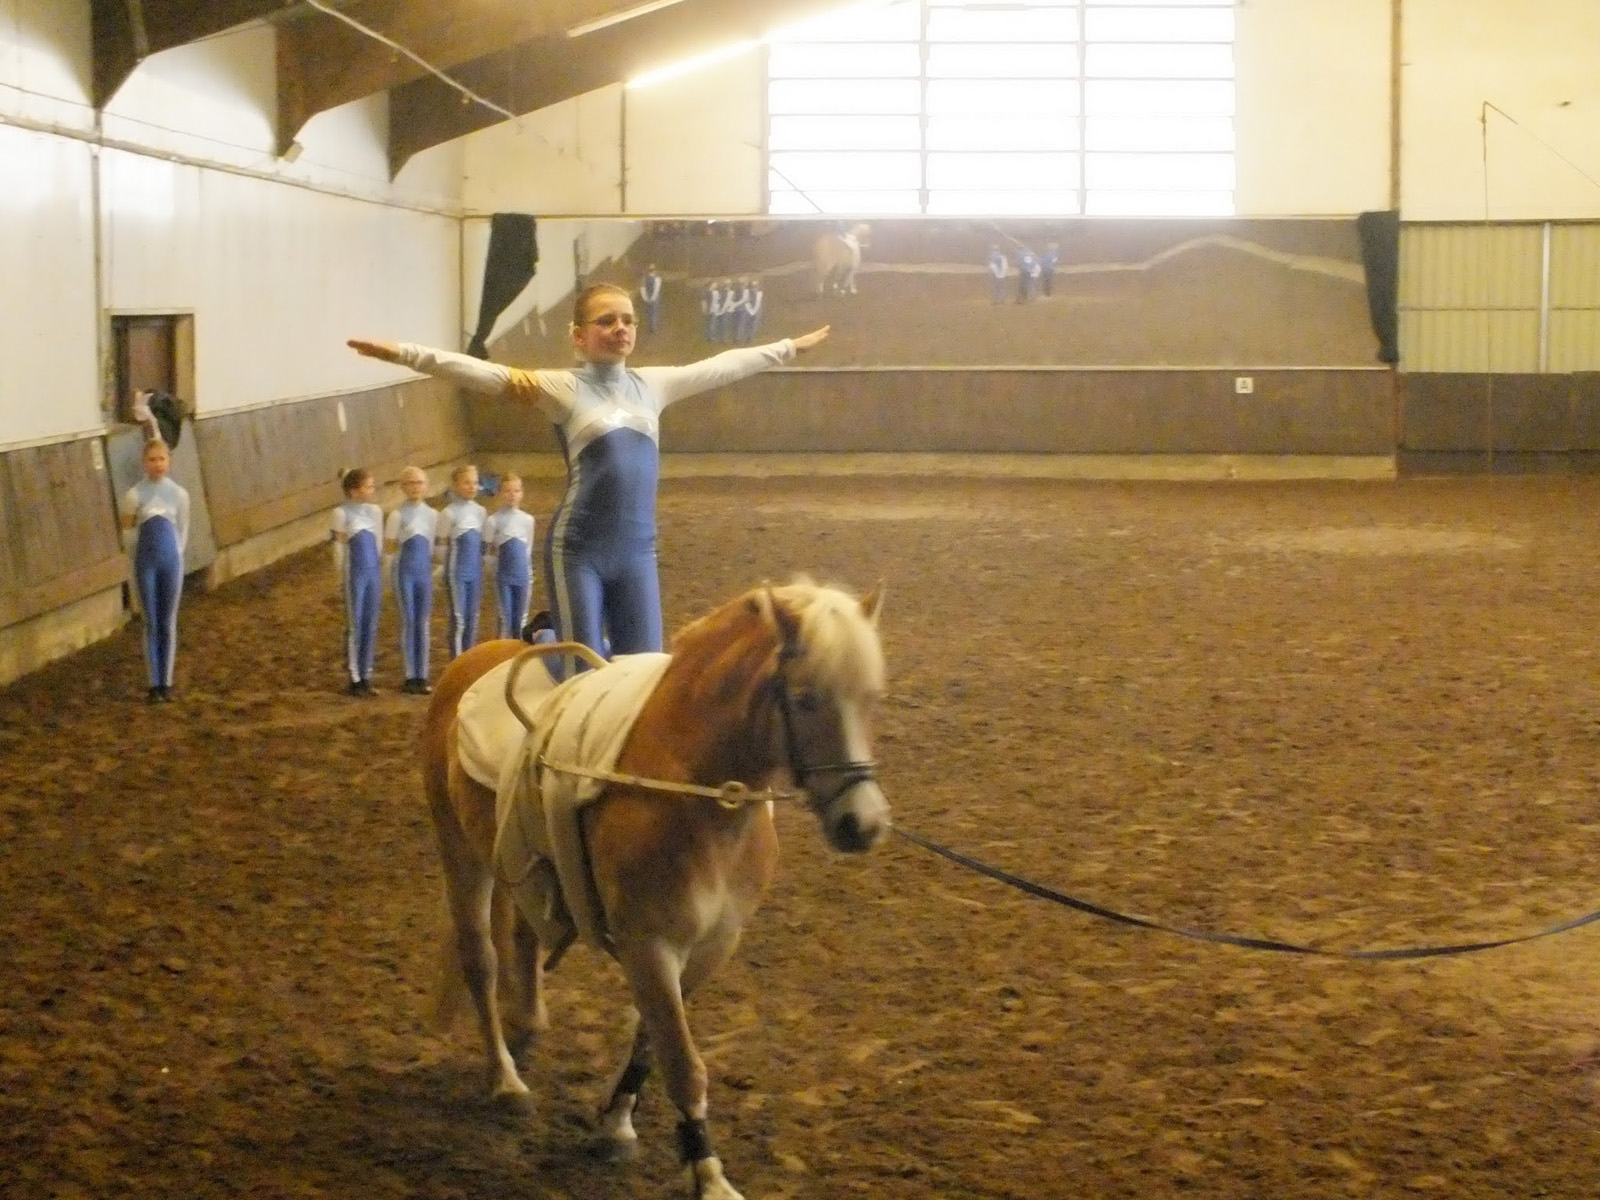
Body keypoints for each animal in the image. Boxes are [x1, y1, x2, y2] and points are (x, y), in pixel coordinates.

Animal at [421, 580, 891, 1200]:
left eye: (872, 698)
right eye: (807, 698)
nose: (864, 824)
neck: (694, 791)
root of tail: (476, 658)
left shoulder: (712, 947)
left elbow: (652, 1041)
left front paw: (617, 1124)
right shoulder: (649, 946)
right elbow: (683, 1062)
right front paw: (709, 1177)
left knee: (524, 935)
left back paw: (531, 1021)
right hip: (460, 855)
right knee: (480, 960)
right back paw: (505, 1081)